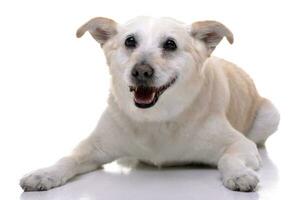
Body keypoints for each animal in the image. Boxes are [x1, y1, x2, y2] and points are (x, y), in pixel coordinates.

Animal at [19, 16, 280, 192]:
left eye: (170, 44)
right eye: (130, 41)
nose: (141, 71)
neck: (156, 118)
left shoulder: (240, 144)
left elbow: (228, 158)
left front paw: (239, 175)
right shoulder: (93, 147)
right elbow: (68, 158)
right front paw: (45, 174)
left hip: (271, 116)